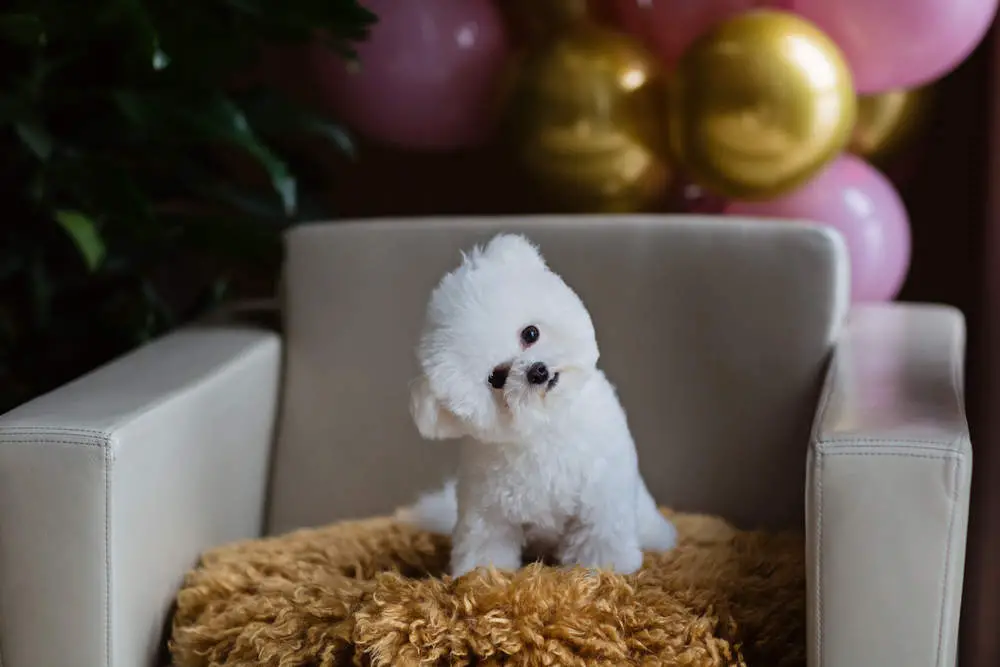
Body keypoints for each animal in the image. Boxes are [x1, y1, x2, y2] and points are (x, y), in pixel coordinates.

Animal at [396, 235, 672, 580]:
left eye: (531, 333)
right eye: (496, 378)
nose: (536, 371)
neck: (546, 426)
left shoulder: (600, 498)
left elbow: (599, 538)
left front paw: (605, 571)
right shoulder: (489, 511)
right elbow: (486, 545)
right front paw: (482, 578)